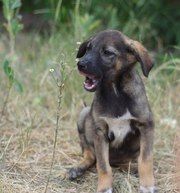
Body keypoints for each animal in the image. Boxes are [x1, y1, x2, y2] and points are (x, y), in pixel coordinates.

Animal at [67, 29, 155, 193]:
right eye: (88, 48)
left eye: (107, 52)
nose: (80, 64)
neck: (115, 91)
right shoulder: (100, 131)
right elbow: (103, 166)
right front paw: (104, 187)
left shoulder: (146, 125)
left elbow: (146, 159)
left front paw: (147, 185)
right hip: (83, 115)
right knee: (90, 155)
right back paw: (77, 169)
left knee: (123, 162)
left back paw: (132, 168)